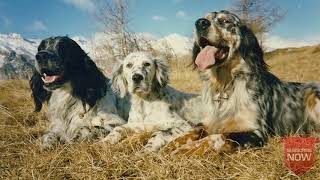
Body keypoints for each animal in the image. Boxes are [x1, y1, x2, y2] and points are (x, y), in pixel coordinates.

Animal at [168, 10, 320, 155]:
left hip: (312, 93)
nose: (200, 23)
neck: (225, 85)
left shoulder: (256, 133)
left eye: (225, 21)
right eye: (205, 18)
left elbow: (218, 136)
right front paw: (171, 144)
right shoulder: (207, 121)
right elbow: (191, 132)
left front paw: (188, 148)